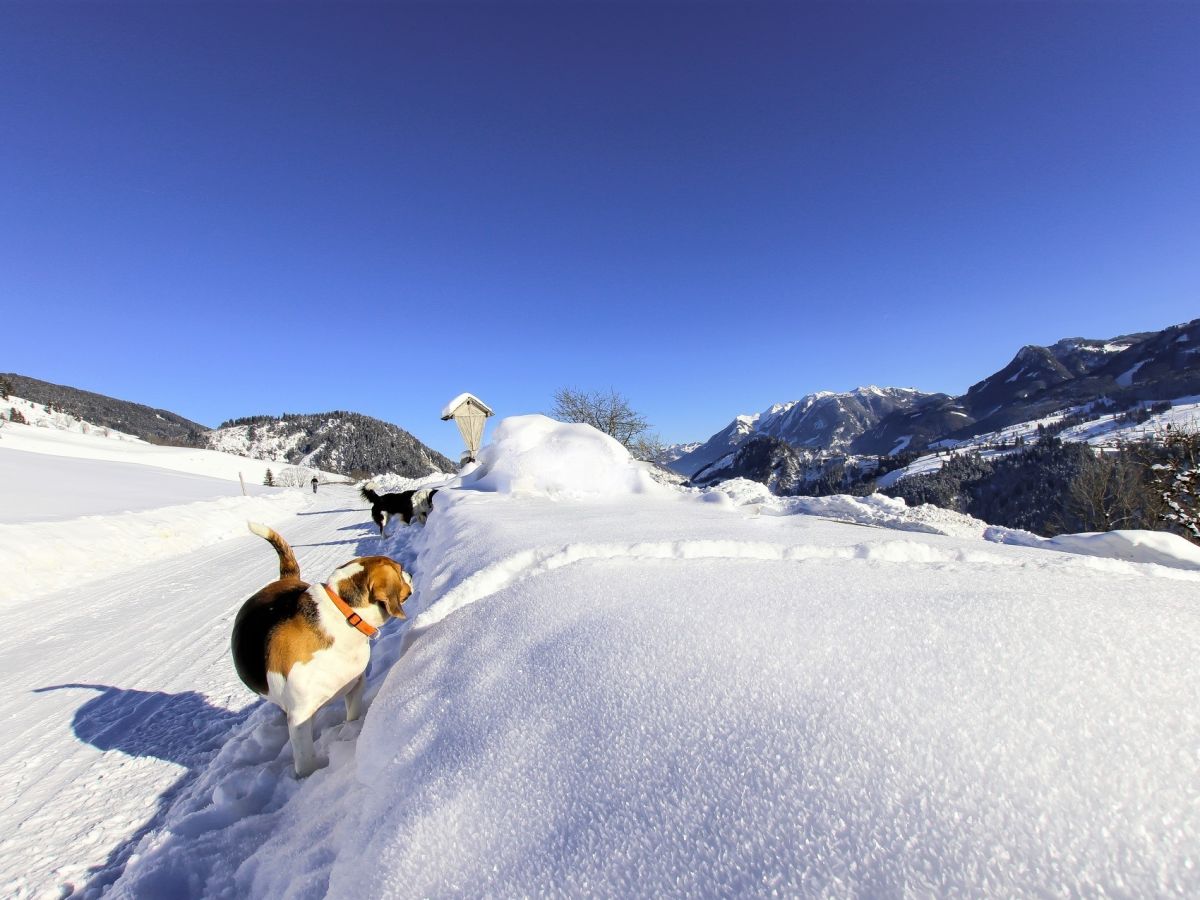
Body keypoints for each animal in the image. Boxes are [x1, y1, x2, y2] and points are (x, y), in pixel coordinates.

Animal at [231, 525, 415, 777]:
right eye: (400, 568)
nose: (411, 575)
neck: (341, 615)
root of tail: (283, 580)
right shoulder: (299, 717)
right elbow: (305, 761)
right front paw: (308, 778)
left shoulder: (355, 684)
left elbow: (353, 714)